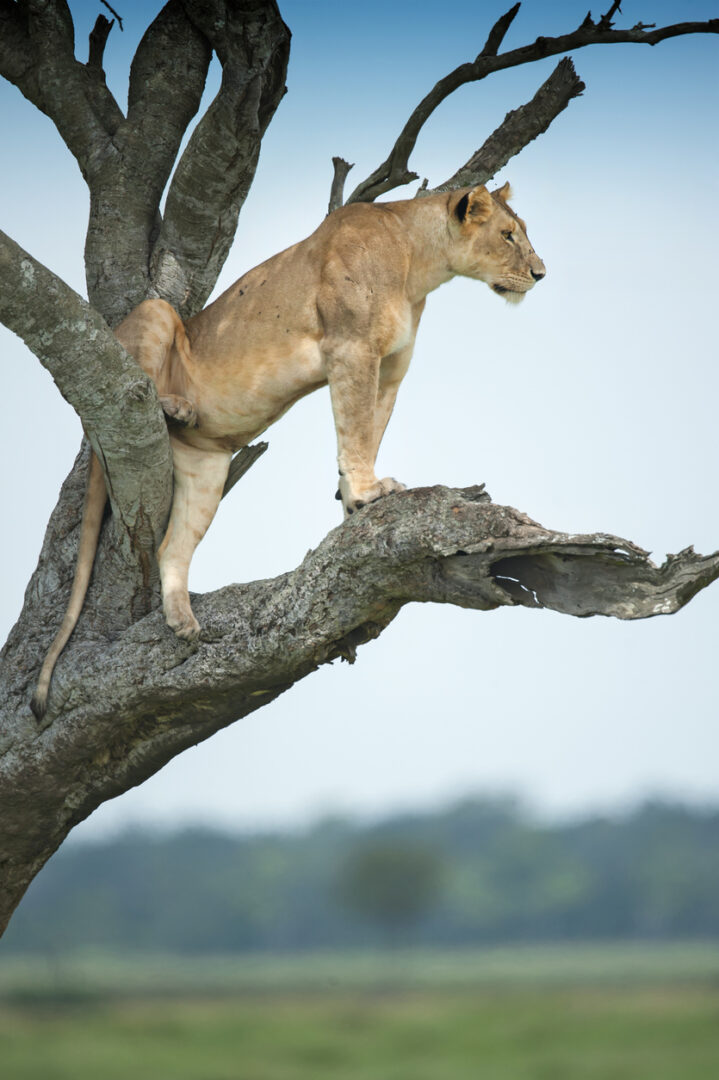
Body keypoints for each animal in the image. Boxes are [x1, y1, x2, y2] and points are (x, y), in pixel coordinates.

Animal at [31, 182, 545, 717]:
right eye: (508, 235)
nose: (541, 273)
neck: (418, 264)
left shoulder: (391, 368)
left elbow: (369, 431)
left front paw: (354, 505)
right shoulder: (352, 349)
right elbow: (354, 429)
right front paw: (368, 492)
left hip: (208, 470)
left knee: (173, 546)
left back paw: (182, 620)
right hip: (155, 316)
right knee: (132, 388)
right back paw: (175, 405)